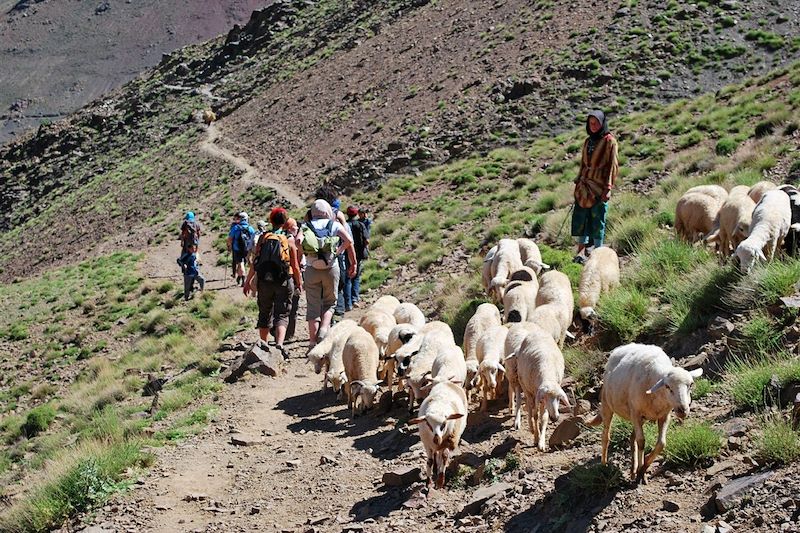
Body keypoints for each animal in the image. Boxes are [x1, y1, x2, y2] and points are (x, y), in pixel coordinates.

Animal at [588, 342, 700, 484]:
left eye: (691, 384)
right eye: (667, 386)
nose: (682, 410)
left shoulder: (664, 416)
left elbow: (661, 443)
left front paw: (643, 467)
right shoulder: (635, 413)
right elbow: (641, 441)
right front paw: (641, 471)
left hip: (641, 416)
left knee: (632, 437)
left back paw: (633, 469)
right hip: (608, 405)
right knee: (606, 436)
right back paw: (604, 464)